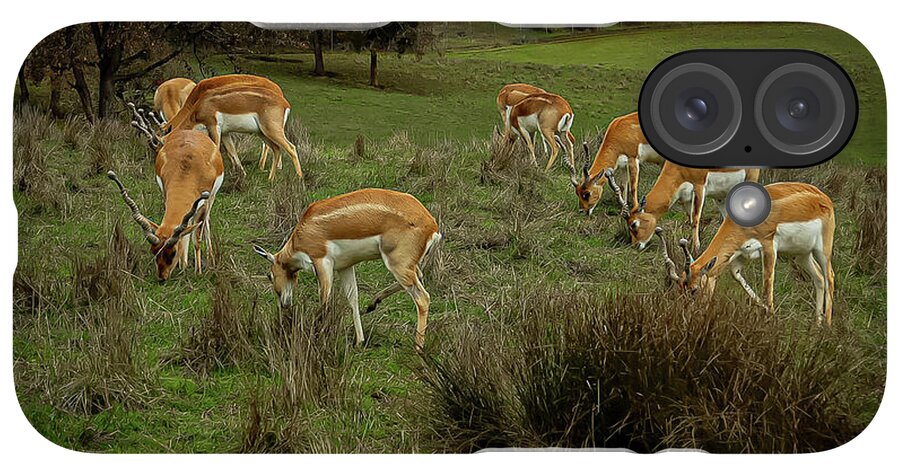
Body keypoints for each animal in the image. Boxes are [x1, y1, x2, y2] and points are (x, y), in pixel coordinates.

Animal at [109, 105, 224, 281]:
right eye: (154, 251)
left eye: (172, 252)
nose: (162, 278)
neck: (188, 169)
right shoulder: (166, 193)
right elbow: (184, 231)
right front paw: (183, 265)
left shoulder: (203, 202)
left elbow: (197, 237)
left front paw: (197, 271)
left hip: (211, 198)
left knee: (205, 223)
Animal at [161, 74, 300, 182]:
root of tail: (284, 102)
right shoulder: (225, 133)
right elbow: (231, 151)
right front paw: (240, 173)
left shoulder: (214, 127)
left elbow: (216, 149)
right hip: (262, 132)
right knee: (276, 148)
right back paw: (270, 178)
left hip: (271, 130)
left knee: (291, 147)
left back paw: (298, 179)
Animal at [252, 188, 442, 351]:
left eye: (269, 275)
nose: (284, 304)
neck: (303, 232)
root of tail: (432, 225)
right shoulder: (345, 267)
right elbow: (352, 298)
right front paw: (359, 341)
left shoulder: (322, 262)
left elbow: (325, 300)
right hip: (405, 265)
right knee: (419, 276)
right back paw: (373, 303)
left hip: (397, 264)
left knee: (422, 297)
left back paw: (417, 347)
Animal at [605, 159, 760, 254]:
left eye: (634, 224)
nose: (636, 245)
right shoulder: (685, 199)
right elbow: (691, 220)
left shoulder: (699, 187)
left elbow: (696, 219)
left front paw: (696, 247)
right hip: (721, 198)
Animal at [654, 182, 835, 325]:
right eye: (679, 289)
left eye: (694, 290)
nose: (686, 315)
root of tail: (824, 198)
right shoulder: (739, 255)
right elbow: (738, 277)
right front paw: (765, 310)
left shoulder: (769, 246)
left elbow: (767, 281)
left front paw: (770, 316)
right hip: (801, 255)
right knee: (819, 278)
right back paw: (817, 323)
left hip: (822, 250)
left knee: (830, 277)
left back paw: (827, 325)